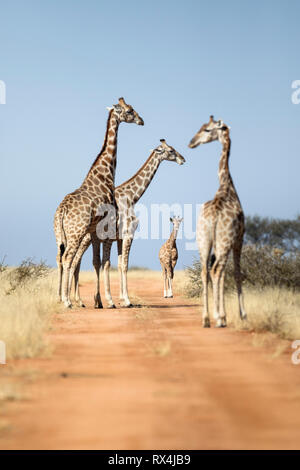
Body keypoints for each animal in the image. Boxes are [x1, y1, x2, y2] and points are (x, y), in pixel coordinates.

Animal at [54, 97, 144, 306]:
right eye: (129, 111)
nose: (141, 121)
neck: (106, 175)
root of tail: (61, 211)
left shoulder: (95, 230)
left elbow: (98, 262)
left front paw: (100, 301)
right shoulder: (109, 226)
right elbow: (107, 262)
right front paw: (110, 301)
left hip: (64, 235)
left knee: (64, 258)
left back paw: (65, 298)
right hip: (76, 233)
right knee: (68, 258)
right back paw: (67, 301)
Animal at [71, 140, 185, 308]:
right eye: (171, 150)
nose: (183, 159)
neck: (131, 197)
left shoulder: (118, 238)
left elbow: (119, 265)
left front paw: (121, 299)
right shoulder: (127, 235)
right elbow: (123, 265)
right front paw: (126, 300)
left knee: (76, 262)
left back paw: (78, 300)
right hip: (85, 238)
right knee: (74, 262)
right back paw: (77, 300)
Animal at [189, 115, 247, 326]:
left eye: (207, 129)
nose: (191, 142)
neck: (226, 186)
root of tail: (213, 216)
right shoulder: (239, 238)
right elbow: (237, 273)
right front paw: (241, 314)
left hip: (204, 240)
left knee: (205, 271)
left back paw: (206, 318)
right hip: (224, 241)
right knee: (216, 270)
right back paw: (219, 318)